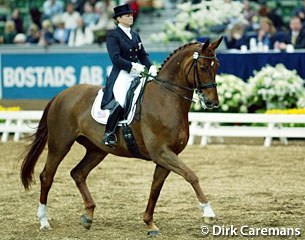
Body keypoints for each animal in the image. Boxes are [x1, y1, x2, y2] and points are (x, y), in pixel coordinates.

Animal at [20, 38, 221, 236]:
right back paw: (44, 221)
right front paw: (208, 212)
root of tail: (60, 95)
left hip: (97, 150)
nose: (213, 103)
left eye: (217, 66)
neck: (165, 98)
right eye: (203, 67)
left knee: (78, 173)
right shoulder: (161, 153)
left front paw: (149, 223)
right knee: (47, 176)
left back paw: (88, 216)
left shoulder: (167, 156)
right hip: (60, 144)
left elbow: (156, 187)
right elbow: (191, 175)